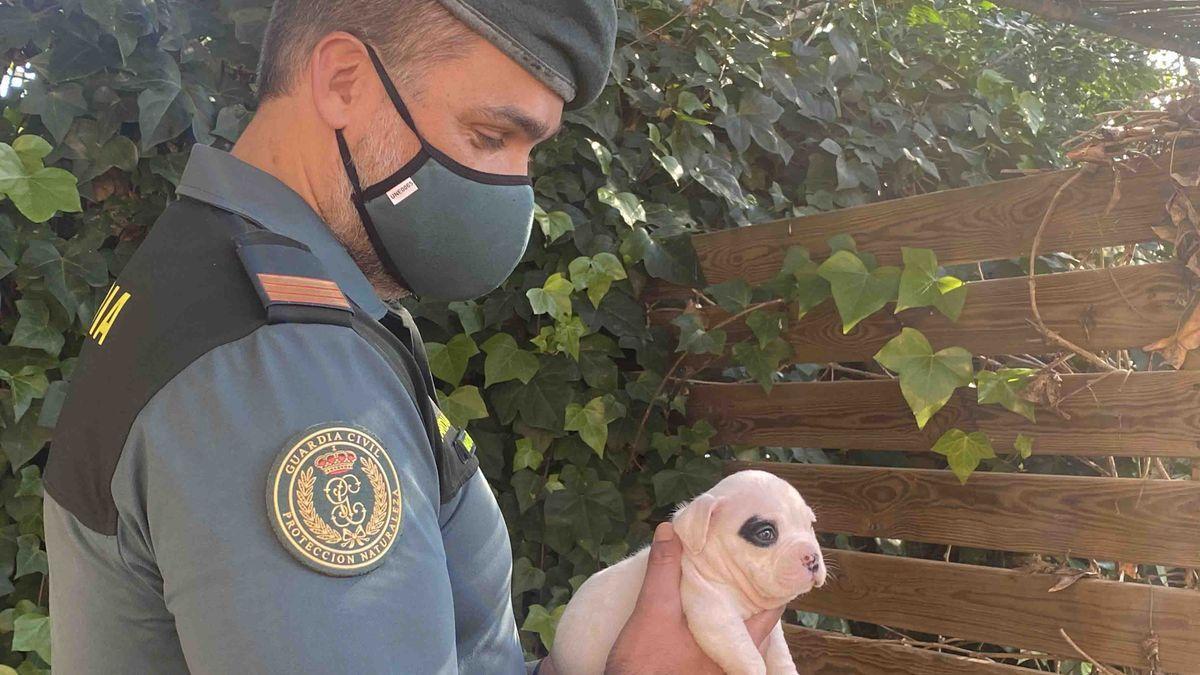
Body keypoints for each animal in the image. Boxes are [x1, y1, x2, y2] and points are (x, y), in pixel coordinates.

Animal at [549, 468, 825, 672]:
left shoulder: (771, 629)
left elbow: (781, 655)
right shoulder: (715, 617)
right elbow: (749, 657)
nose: (812, 558)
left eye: (810, 526)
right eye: (766, 533)